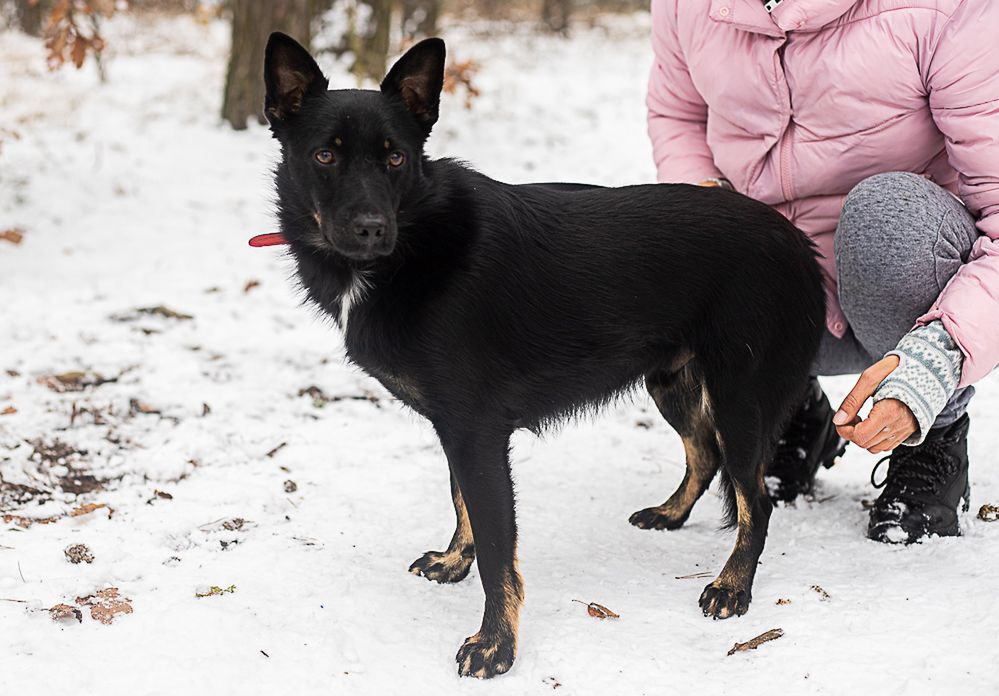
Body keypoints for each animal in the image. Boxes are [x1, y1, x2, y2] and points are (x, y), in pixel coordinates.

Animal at [262, 34, 824, 680]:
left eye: (397, 159)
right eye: (325, 156)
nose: (372, 229)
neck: (417, 241)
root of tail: (797, 243)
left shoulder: (477, 432)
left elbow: (496, 550)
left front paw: (494, 645)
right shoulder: (457, 428)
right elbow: (462, 504)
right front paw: (454, 562)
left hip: (738, 397)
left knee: (756, 500)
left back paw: (733, 586)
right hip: (672, 381)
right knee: (704, 456)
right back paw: (671, 515)